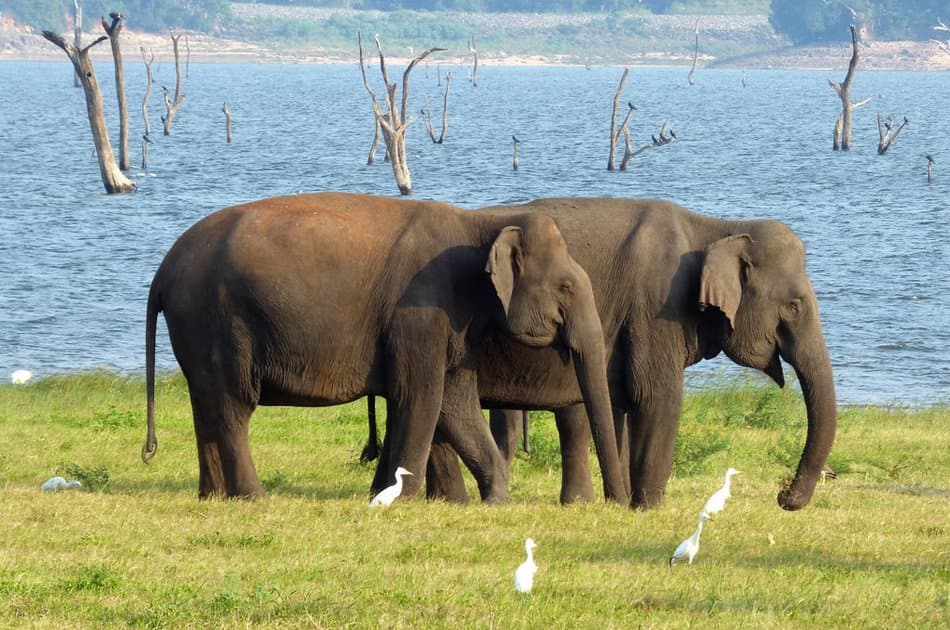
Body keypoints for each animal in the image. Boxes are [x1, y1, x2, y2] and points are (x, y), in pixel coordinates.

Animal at [142, 192, 627, 504]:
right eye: (566, 287)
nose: (618, 504)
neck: (478, 224)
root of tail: (162, 271)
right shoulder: (419, 309)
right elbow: (423, 395)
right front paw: (403, 500)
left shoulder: (447, 319)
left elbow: (454, 398)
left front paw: (495, 498)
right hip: (218, 321)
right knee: (233, 407)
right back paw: (254, 498)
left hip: (196, 329)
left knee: (205, 404)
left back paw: (212, 497)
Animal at [410, 197, 837, 511]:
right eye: (794, 306)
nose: (784, 497)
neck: (716, 227)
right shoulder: (656, 306)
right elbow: (656, 397)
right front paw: (648, 508)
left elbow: (624, 405)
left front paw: (627, 501)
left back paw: (449, 501)